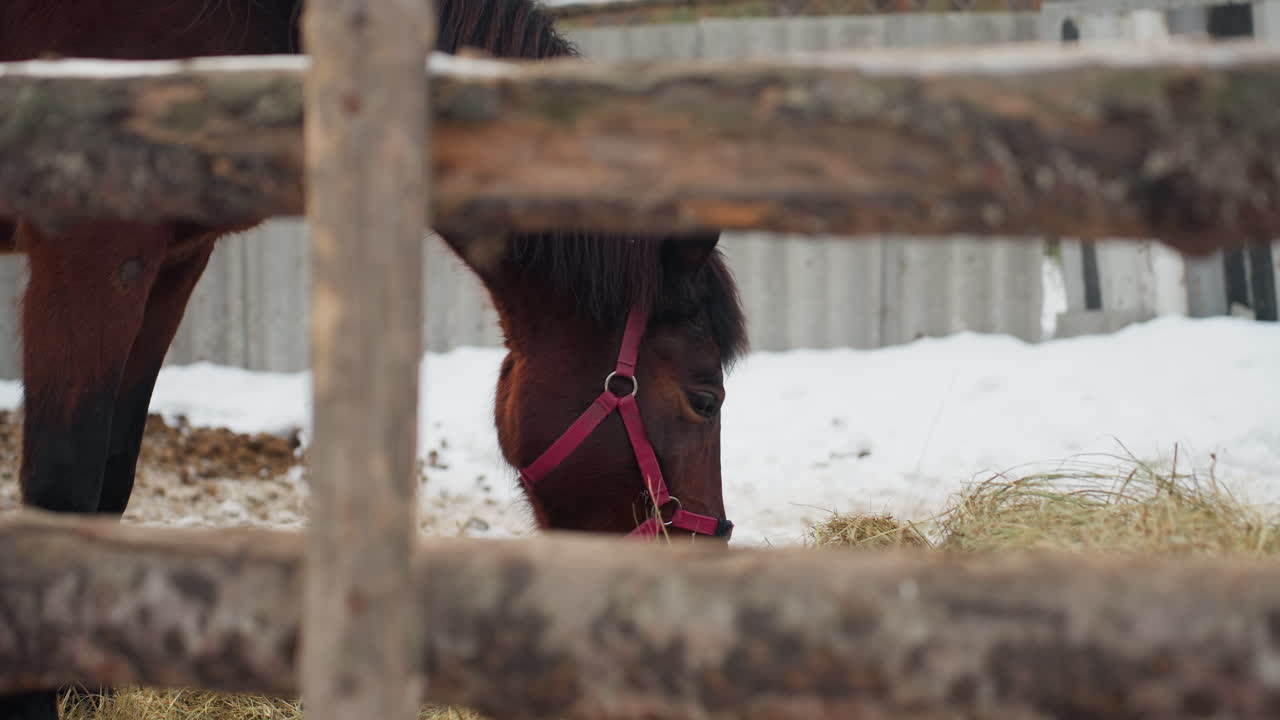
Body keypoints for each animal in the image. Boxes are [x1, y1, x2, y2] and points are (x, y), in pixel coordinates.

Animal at [1, 1, 747, 716]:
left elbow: (111, 474)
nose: (710, 551)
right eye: (704, 399)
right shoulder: (91, 245)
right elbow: (63, 481)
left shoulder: (173, 262)